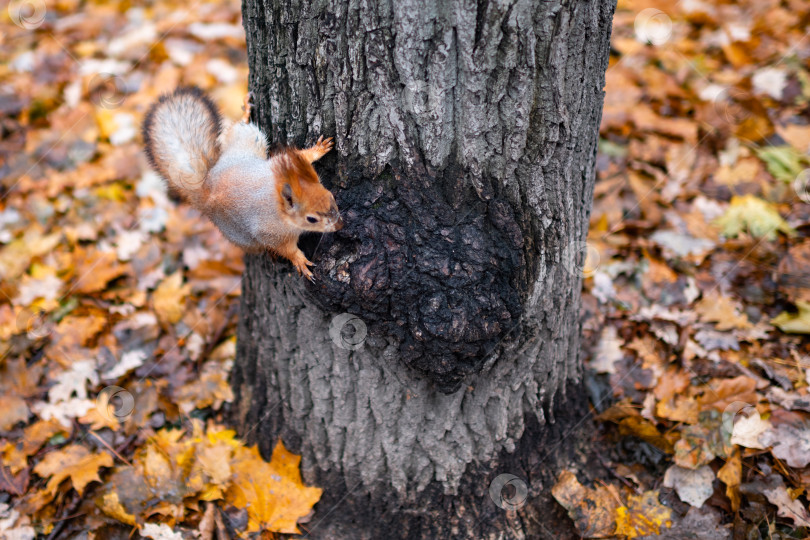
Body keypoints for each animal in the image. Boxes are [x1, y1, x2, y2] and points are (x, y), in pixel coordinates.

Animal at [141, 86, 340, 280]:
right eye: (311, 219)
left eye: (331, 195)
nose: (340, 224)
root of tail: (207, 187)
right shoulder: (270, 232)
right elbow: (286, 249)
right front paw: (299, 260)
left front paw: (317, 150)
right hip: (243, 237)